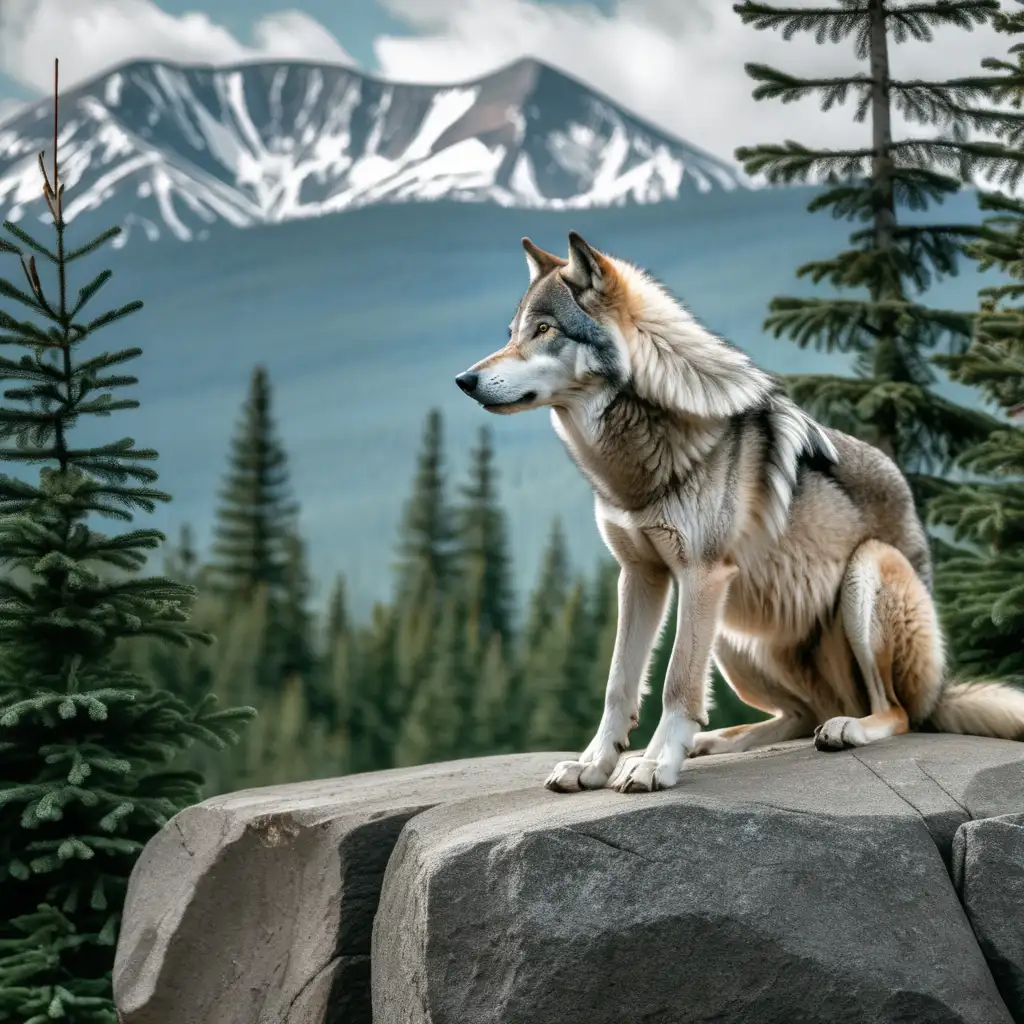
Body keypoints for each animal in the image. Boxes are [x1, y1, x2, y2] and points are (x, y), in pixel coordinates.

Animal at [454, 234, 1024, 798]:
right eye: (512, 333)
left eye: (544, 330)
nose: (464, 380)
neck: (635, 460)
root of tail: (941, 689)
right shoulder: (639, 575)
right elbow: (619, 683)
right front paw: (594, 765)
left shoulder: (702, 575)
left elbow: (677, 682)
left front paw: (655, 767)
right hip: (734, 632)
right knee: (800, 715)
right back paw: (715, 741)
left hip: (861, 576)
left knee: (896, 712)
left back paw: (847, 729)